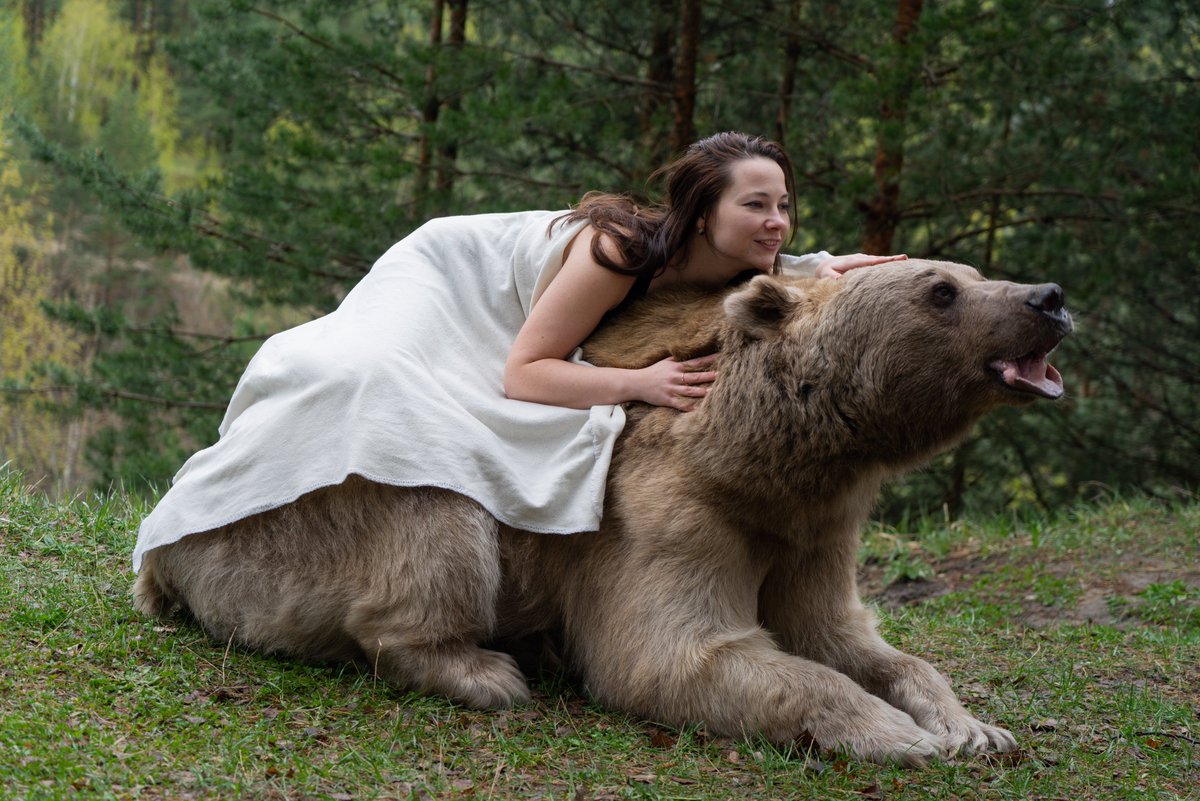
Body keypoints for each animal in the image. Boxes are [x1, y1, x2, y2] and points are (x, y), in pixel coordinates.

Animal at [136, 261, 1075, 762]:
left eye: (970, 274)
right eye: (941, 288)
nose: (1049, 297)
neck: (768, 455)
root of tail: (162, 549)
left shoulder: (814, 528)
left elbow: (853, 638)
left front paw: (971, 725)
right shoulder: (666, 508)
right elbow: (674, 651)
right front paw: (896, 734)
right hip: (293, 526)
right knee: (435, 524)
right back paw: (487, 669)